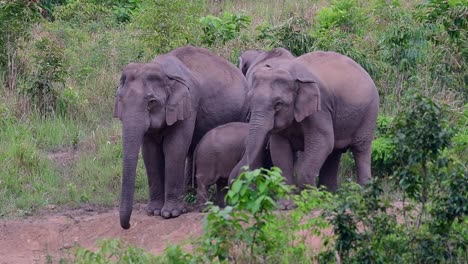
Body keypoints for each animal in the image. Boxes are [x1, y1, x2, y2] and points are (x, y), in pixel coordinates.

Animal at [114, 46, 250, 229]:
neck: (163, 71)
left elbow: (175, 148)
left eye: (151, 102)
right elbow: (150, 152)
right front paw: (154, 212)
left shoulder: (188, 104)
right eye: (120, 99)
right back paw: (188, 194)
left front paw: (170, 214)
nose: (128, 225)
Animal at [238, 47, 380, 196]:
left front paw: (309, 196)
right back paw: (330, 194)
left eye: (278, 104)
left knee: (360, 148)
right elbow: (279, 148)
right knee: (334, 152)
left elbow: (323, 142)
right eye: (249, 99)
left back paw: (364, 194)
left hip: (370, 112)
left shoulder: (320, 107)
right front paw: (288, 199)